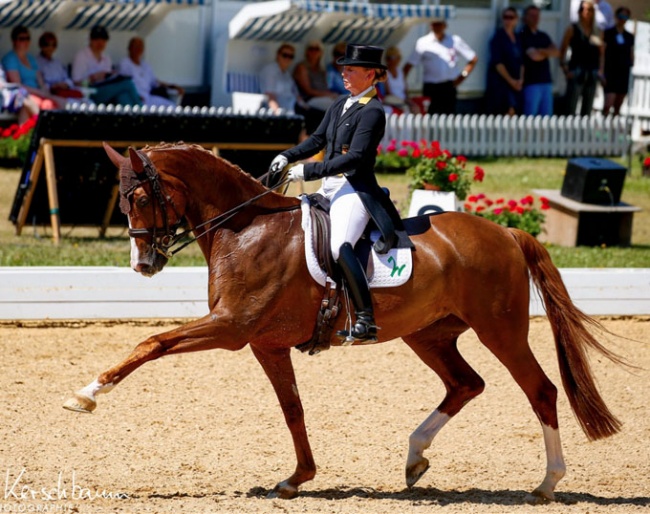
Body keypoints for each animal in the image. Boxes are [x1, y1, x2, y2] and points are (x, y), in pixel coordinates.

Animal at [62, 142, 624, 502]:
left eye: (139, 197)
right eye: (122, 198)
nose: (143, 264)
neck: (245, 229)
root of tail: (506, 233)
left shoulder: (230, 328)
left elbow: (152, 343)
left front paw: (86, 395)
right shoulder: (265, 343)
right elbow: (293, 409)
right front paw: (297, 478)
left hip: (500, 330)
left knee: (540, 390)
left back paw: (547, 484)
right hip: (429, 334)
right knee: (466, 384)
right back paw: (415, 459)